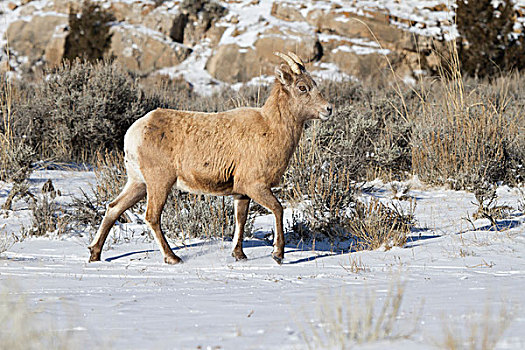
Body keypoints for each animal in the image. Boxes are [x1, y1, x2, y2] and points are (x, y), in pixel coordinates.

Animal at [86, 52, 332, 264]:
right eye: (302, 87)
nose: (328, 109)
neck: (270, 128)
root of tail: (134, 132)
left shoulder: (241, 193)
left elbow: (241, 219)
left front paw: (239, 255)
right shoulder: (255, 186)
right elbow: (278, 209)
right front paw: (278, 254)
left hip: (138, 183)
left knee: (114, 207)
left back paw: (95, 254)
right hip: (159, 182)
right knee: (152, 216)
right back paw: (173, 258)